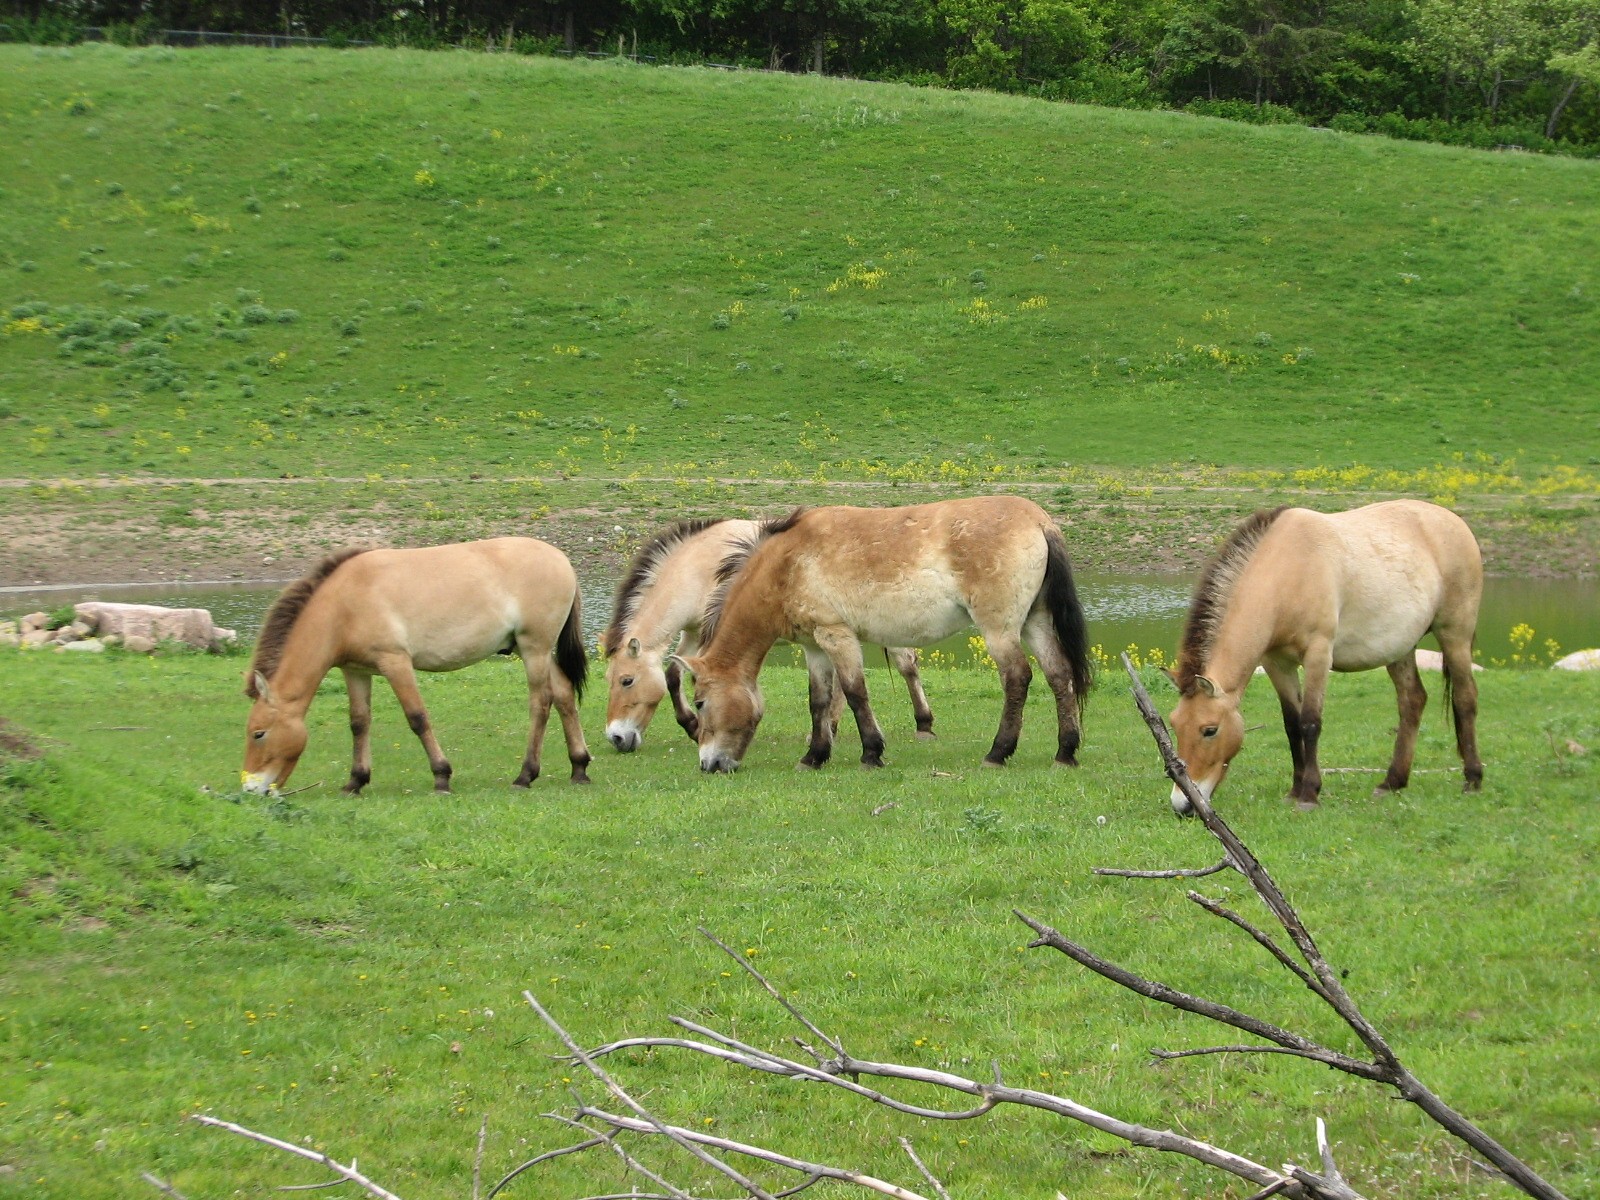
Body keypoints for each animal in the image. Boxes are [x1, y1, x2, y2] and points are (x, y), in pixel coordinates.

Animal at [241, 538, 592, 796]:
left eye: (259, 733)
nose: (250, 789)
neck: (345, 604)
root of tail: (562, 560)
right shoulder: (356, 671)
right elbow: (359, 722)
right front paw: (356, 780)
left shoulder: (395, 662)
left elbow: (417, 718)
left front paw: (442, 776)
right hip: (531, 650)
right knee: (563, 694)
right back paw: (579, 766)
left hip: (534, 649)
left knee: (541, 703)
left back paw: (525, 774)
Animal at [602, 518, 933, 752]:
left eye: (627, 681)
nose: (616, 738)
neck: (697, 568)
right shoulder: (694, 633)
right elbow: (673, 674)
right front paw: (693, 725)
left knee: (906, 664)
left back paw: (923, 723)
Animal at [674, 497, 1093, 773]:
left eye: (700, 702)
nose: (709, 764)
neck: (787, 563)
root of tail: (1039, 521)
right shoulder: (814, 647)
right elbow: (818, 701)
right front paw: (814, 756)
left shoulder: (836, 636)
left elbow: (855, 693)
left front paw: (871, 752)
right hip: (1035, 622)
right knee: (1059, 675)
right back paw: (1065, 751)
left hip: (1000, 630)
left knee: (1017, 678)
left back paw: (998, 752)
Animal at [1166, 500, 1483, 815]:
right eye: (1174, 724)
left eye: (1209, 730)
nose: (1182, 804)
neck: (1288, 572)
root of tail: (1454, 521)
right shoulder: (1276, 663)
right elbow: (1292, 724)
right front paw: (1295, 790)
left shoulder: (1318, 655)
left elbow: (1310, 723)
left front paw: (1309, 794)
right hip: (1401, 648)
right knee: (1412, 701)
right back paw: (1392, 782)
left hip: (1454, 635)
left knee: (1465, 698)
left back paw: (1473, 779)